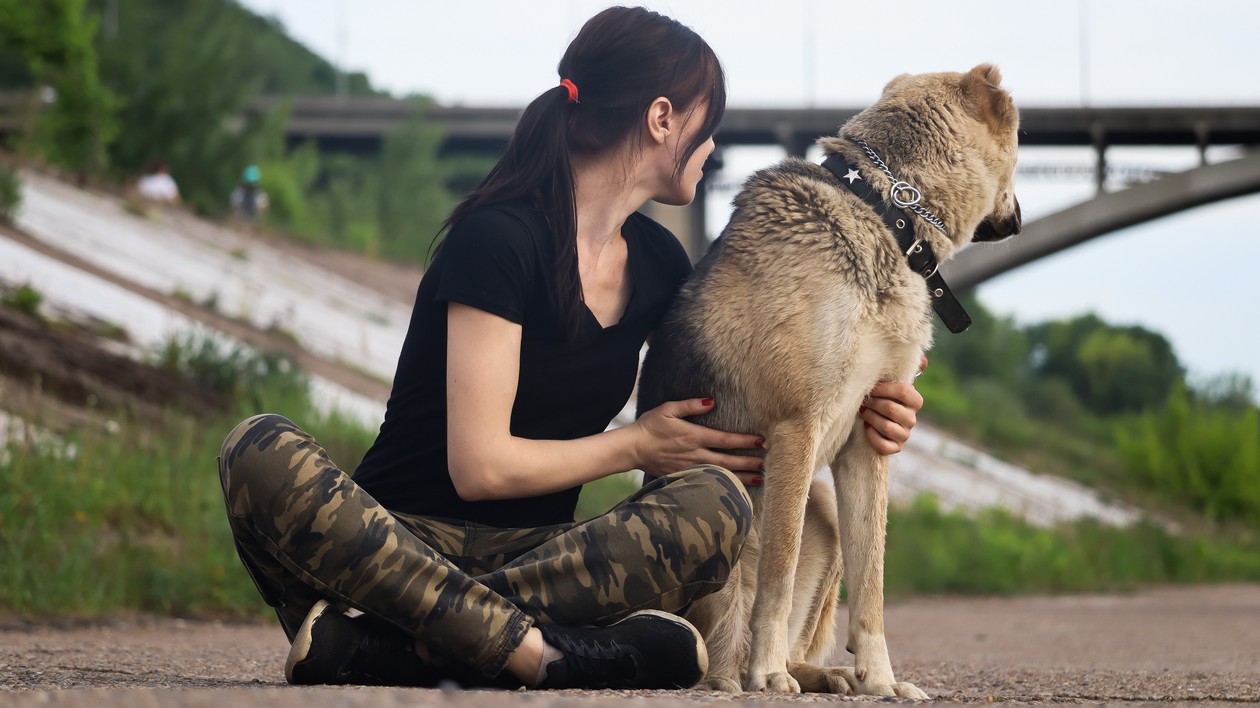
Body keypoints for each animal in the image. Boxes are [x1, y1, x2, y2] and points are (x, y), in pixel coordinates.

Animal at [640, 63, 1023, 690]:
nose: (1018, 217)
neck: (888, 212)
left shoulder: (868, 437)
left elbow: (872, 586)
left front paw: (881, 680)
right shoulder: (796, 427)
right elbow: (778, 571)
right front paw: (769, 674)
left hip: (824, 509)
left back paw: (828, 676)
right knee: (726, 646)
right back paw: (753, 672)